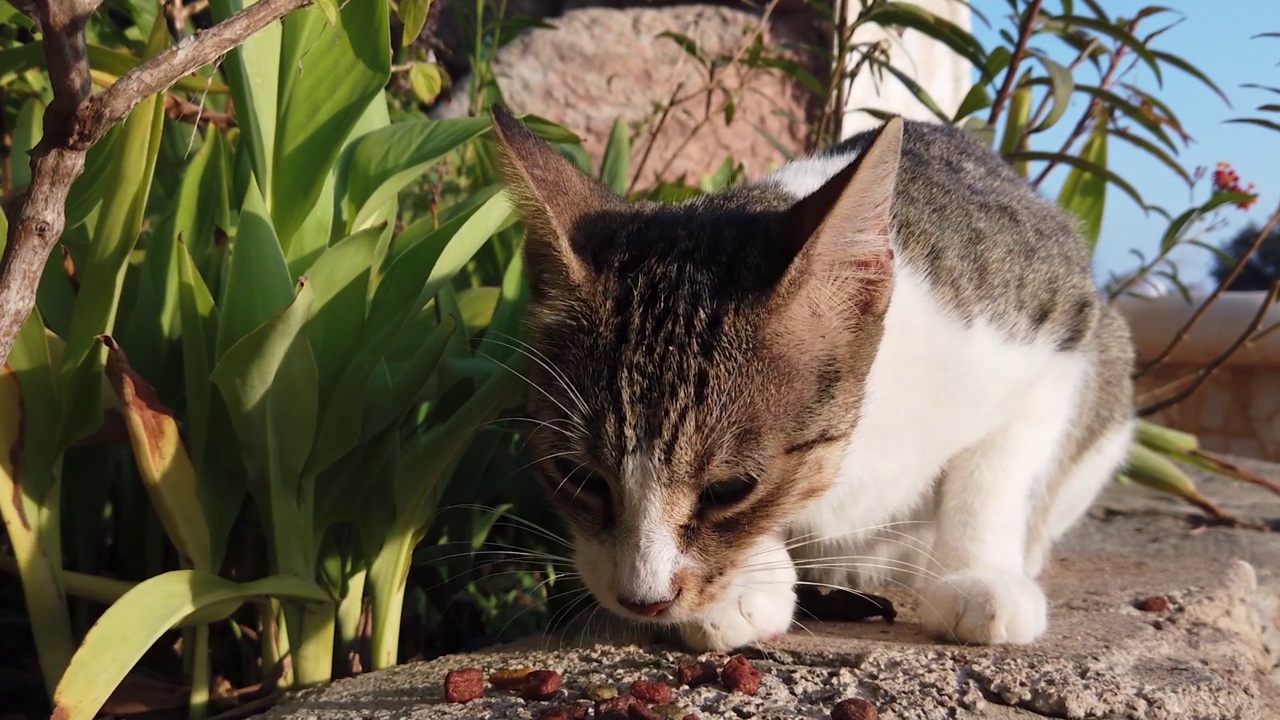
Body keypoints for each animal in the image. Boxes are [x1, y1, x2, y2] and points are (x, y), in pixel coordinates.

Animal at [486, 103, 1131, 648]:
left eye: (730, 488)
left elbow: (998, 469)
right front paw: (752, 583)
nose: (643, 600)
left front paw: (981, 574)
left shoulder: (1054, 327)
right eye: (579, 476)